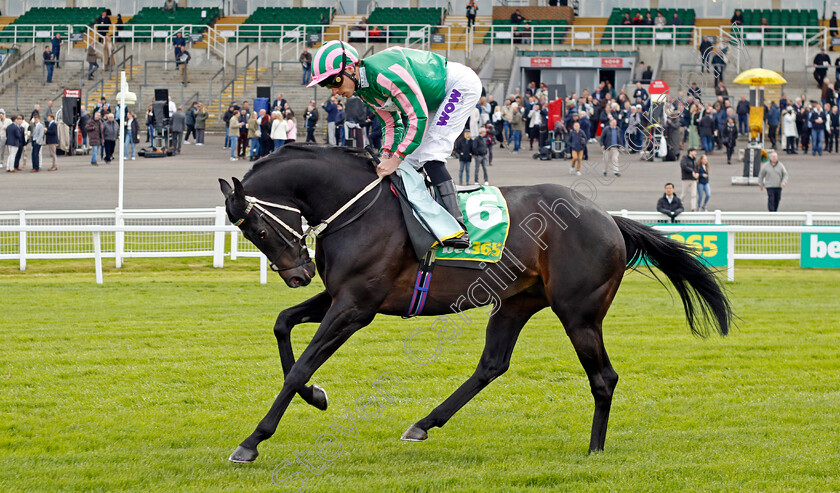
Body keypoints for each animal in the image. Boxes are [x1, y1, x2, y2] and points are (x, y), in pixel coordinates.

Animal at [218, 142, 736, 462]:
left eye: (257, 228)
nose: (297, 274)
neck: (359, 208)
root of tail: (607, 218)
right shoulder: (341, 297)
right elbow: (283, 324)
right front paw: (316, 396)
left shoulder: (356, 307)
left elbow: (302, 364)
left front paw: (253, 440)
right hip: (516, 302)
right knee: (492, 364)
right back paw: (424, 423)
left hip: (579, 312)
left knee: (603, 377)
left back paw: (594, 449)